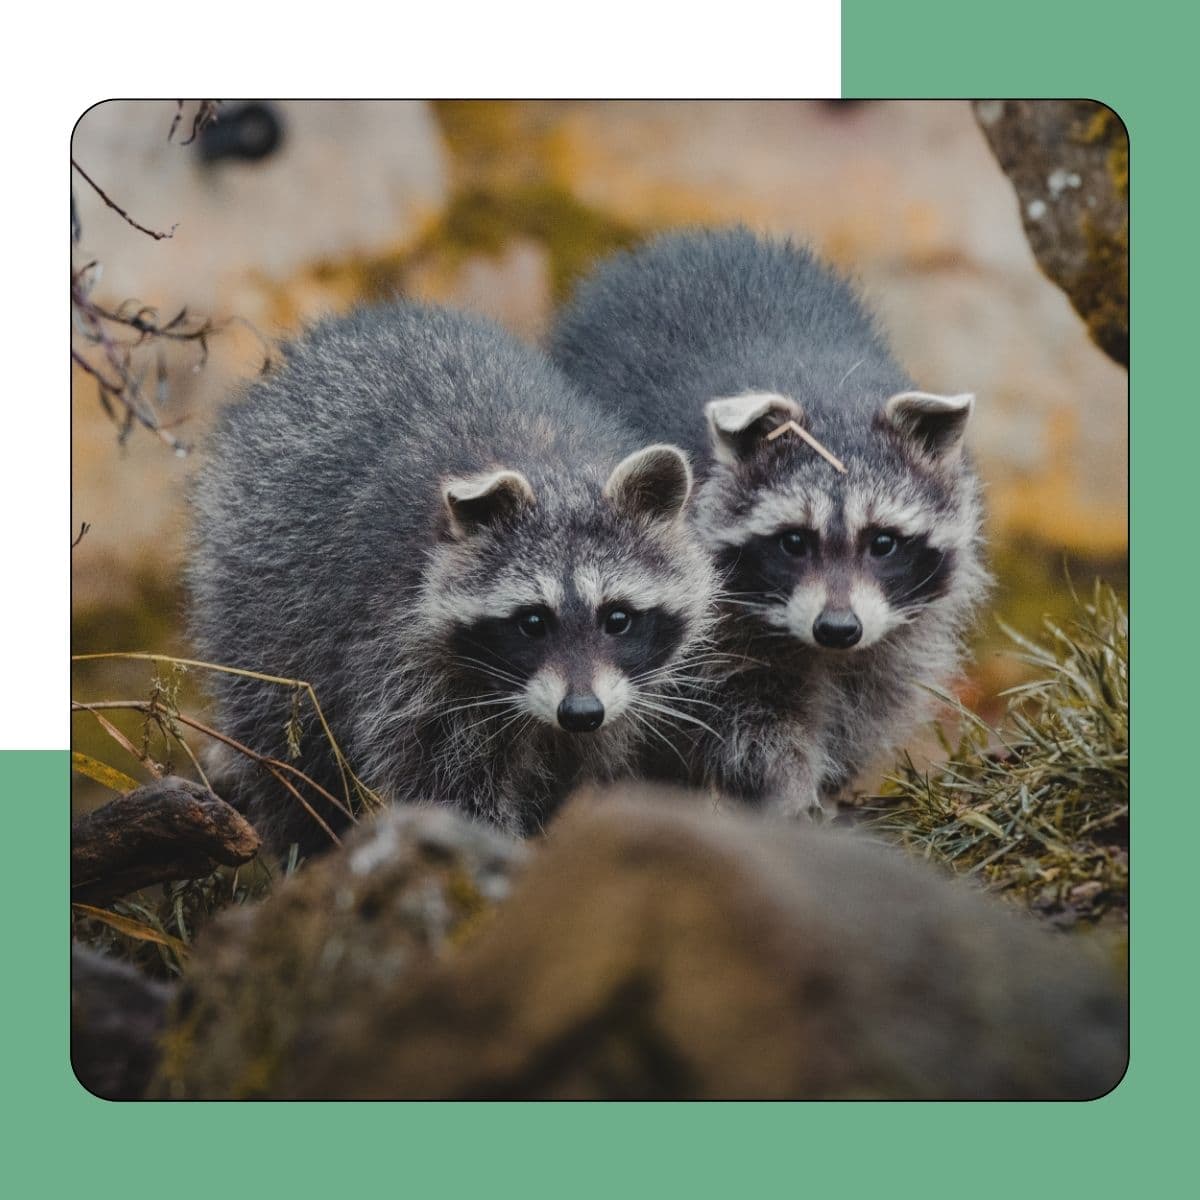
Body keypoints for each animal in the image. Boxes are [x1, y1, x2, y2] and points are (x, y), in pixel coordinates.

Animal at [188, 303, 716, 856]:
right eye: (532, 621)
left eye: (617, 618)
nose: (580, 711)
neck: (551, 467)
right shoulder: (400, 653)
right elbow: (444, 784)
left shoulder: (618, 697)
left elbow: (579, 768)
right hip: (261, 592)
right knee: (286, 745)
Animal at [550, 228, 989, 815]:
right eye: (794, 541)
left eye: (884, 542)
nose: (838, 628)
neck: (828, 390)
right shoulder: (709, 622)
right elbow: (746, 717)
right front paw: (785, 787)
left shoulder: (898, 624)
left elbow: (872, 695)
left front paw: (830, 778)